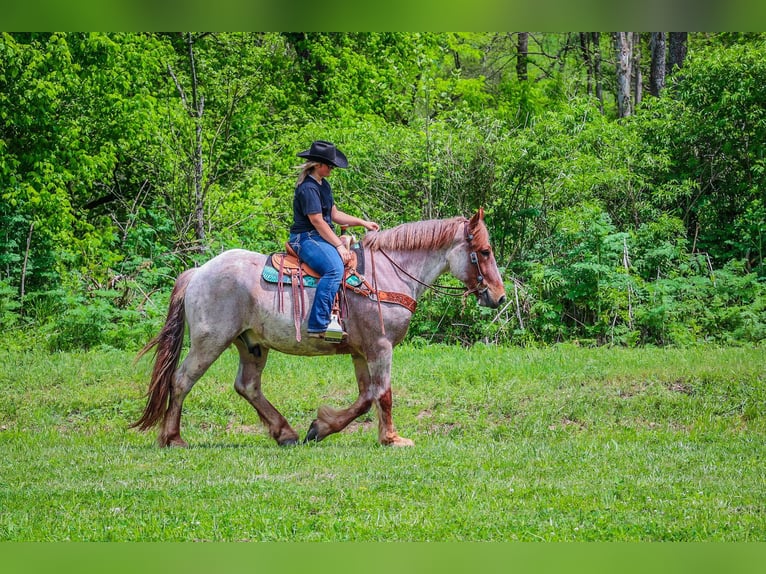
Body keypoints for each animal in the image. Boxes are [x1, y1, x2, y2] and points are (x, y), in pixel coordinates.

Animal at [130, 210, 510, 450]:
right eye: (484, 251)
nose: (499, 296)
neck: (388, 274)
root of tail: (198, 272)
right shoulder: (380, 346)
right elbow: (383, 394)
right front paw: (392, 439)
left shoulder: (361, 352)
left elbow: (366, 396)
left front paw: (321, 427)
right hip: (209, 343)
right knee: (181, 381)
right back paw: (172, 438)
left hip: (251, 344)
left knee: (247, 386)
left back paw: (285, 432)